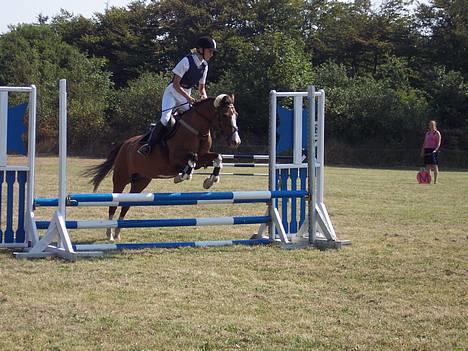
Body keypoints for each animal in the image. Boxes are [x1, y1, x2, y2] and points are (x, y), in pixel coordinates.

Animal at [83, 94, 241, 242]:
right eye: (225, 115)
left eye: (236, 115)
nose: (236, 142)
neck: (196, 130)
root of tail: (125, 144)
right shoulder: (175, 159)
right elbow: (192, 158)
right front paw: (181, 177)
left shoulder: (203, 158)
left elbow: (216, 158)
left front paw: (210, 180)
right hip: (121, 179)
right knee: (114, 203)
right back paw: (109, 233)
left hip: (141, 181)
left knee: (126, 204)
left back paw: (117, 232)